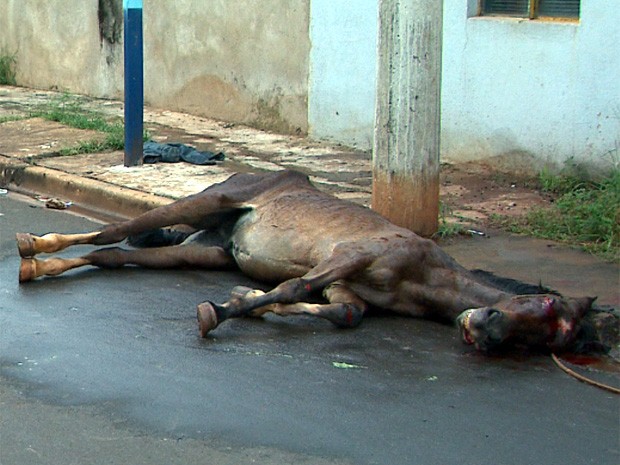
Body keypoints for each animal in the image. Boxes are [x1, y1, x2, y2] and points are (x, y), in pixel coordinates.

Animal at [14, 169, 612, 352]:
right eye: (546, 305)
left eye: (557, 339)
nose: (483, 331)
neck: (427, 274)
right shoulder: (351, 256)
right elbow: (296, 289)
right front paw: (220, 313)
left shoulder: (345, 289)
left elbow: (344, 313)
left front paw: (249, 300)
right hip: (211, 201)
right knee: (116, 229)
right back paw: (32, 247)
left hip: (206, 248)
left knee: (114, 254)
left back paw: (42, 267)